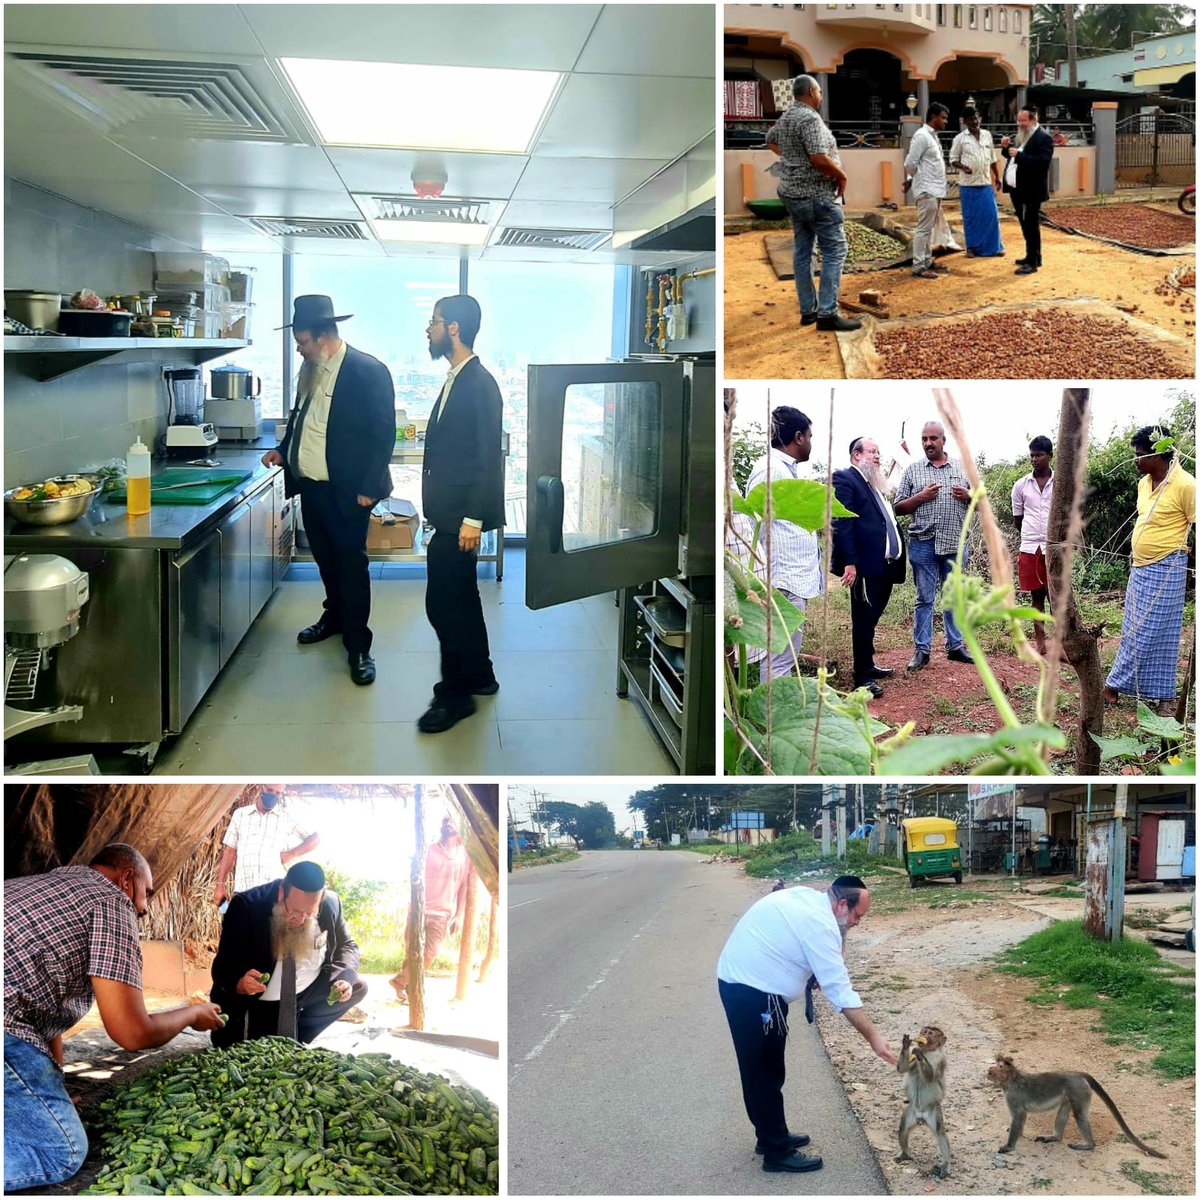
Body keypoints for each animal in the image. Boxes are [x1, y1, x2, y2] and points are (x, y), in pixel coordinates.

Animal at [897, 1022, 950, 1180]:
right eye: (924, 1031)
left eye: (930, 1033)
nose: (923, 1035)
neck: (929, 1051)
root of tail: (921, 1116)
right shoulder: (911, 1059)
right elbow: (903, 1069)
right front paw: (906, 1044)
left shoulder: (941, 1059)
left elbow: (931, 1077)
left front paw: (919, 1054)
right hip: (911, 1111)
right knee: (903, 1129)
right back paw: (905, 1153)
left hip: (934, 1111)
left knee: (940, 1132)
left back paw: (945, 1165)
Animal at [984, 1056, 1161, 1156]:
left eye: (998, 1067)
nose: (989, 1070)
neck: (1011, 1081)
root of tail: (1076, 1073)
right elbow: (1021, 1118)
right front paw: (1019, 1135)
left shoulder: (1012, 1096)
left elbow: (1018, 1116)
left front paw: (1009, 1146)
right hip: (1071, 1094)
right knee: (1064, 1111)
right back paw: (1055, 1137)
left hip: (1079, 1091)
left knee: (1080, 1116)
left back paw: (1089, 1145)